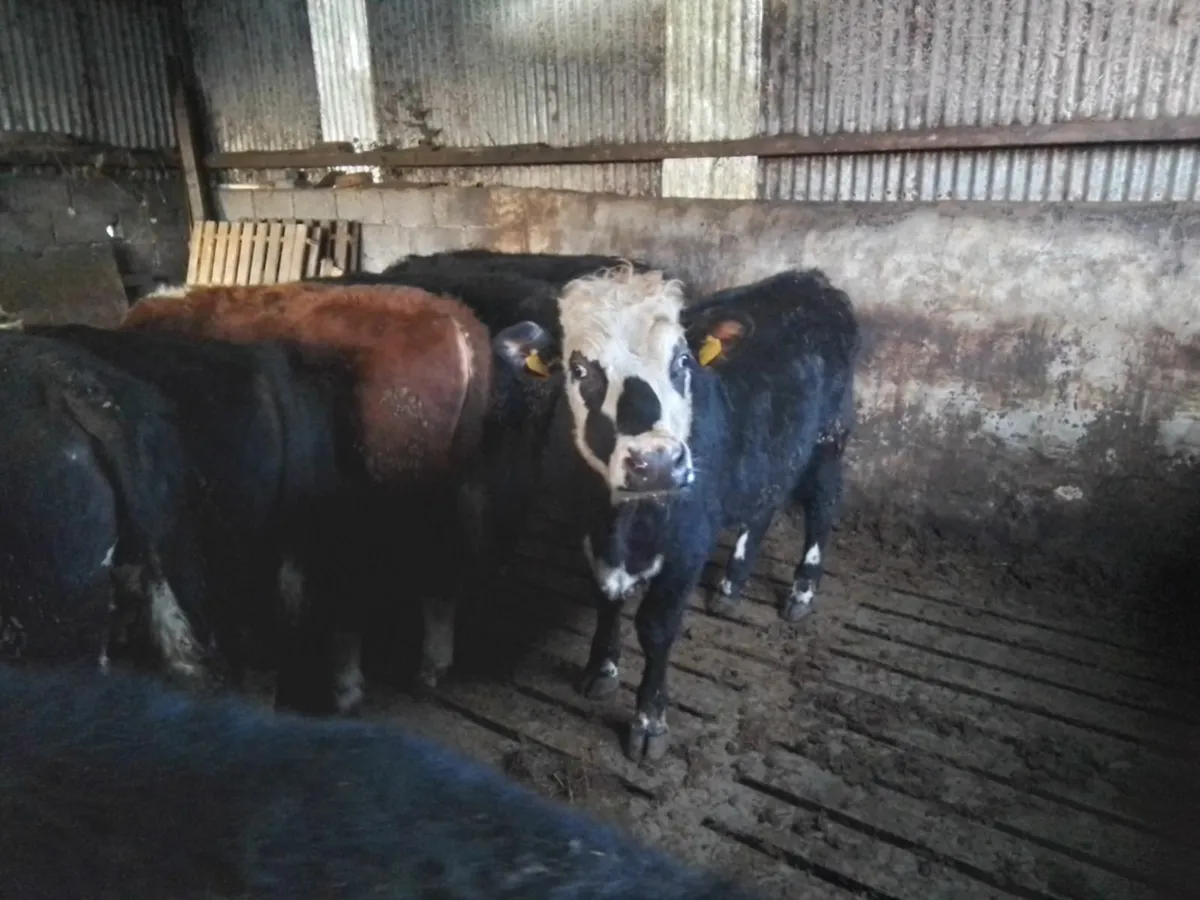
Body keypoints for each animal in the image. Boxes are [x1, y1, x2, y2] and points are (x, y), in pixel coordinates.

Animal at [538, 265, 860, 761]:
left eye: (683, 363)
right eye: (579, 370)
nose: (656, 462)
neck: (622, 524)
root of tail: (808, 279)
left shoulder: (688, 546)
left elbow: (656, 628)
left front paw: (649, 722)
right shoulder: (592, 535)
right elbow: (607, 599)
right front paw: (601, 670)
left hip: (829, 439)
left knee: (822, 509)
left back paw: (802, 593)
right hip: (768, 452)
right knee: (761, 511)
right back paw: (731, 585)